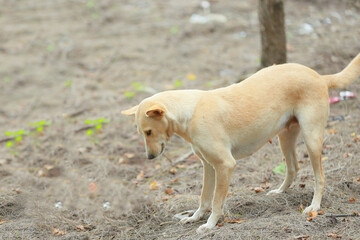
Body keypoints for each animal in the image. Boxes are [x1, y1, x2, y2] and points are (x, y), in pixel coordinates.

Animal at [121, 53, 360, 234]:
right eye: (142, 133)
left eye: (149, 131)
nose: (149, 157)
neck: (191, 111)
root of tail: (319, 76)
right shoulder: (208, 166)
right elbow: (204, 197)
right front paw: (195, 217)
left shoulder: (225, 165)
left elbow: (216, 202)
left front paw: (210, 225)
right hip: (285, 137)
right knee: (293, 168)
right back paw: (279, 192)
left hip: (311, 139)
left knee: (320, 178)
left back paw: (314, 206)